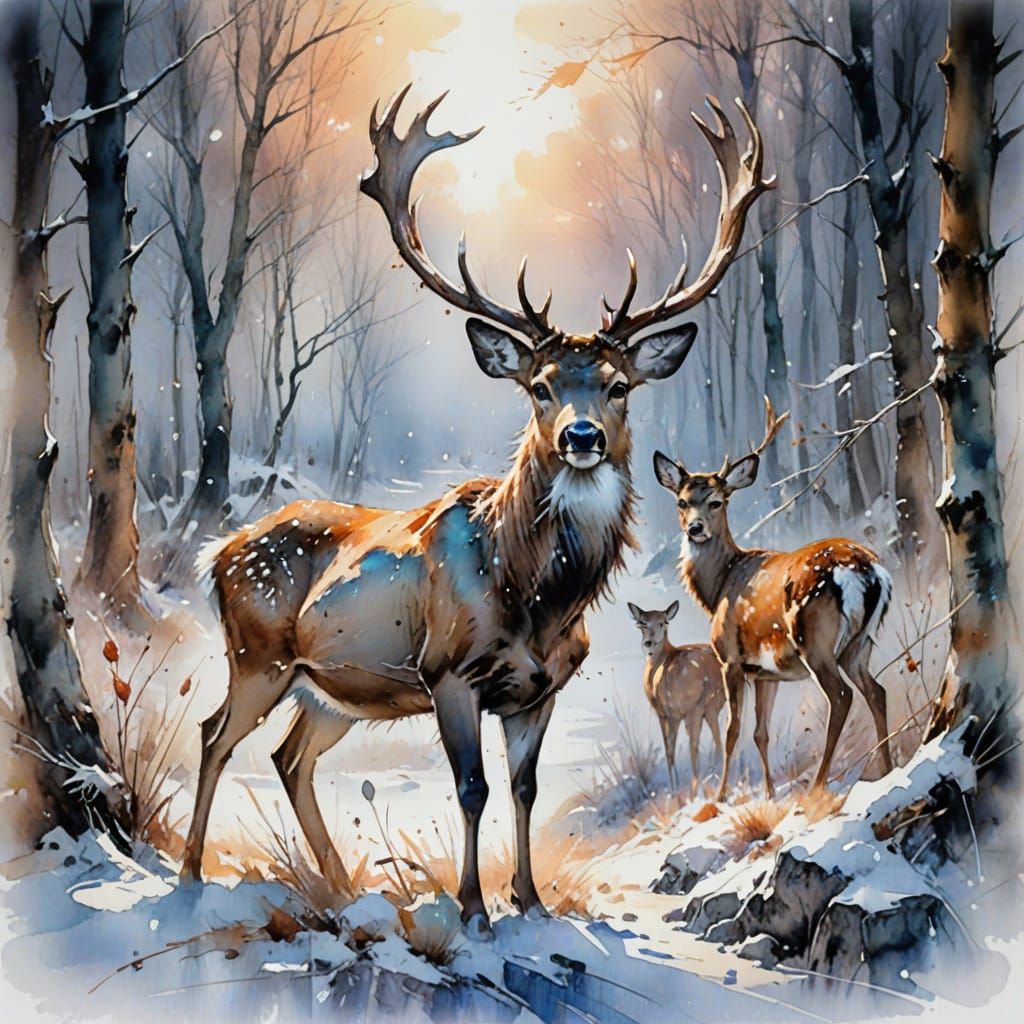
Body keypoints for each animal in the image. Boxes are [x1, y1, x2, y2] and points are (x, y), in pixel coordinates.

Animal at [627, 601, 724, 793]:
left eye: (663, 623)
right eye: (642, 623)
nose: (648, 643)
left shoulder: (665, 712)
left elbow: (668, 750)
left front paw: (674, 786)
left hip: (693, 708)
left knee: (695, 745)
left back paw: (697, 784)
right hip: (712, 706)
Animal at [653, 398, 893, 804]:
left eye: (717, 501)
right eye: (682, 502)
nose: (695, 529)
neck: (718, 587)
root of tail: (865, 569)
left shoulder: (730, 658)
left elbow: (732, 732)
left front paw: (720, 797)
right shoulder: (766, 673)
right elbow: (759, 733)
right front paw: (767, 793)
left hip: (814, 637)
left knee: (842, 696)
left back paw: (817, 785)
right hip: (861, 642)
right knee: (877, 691)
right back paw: (889, 767)